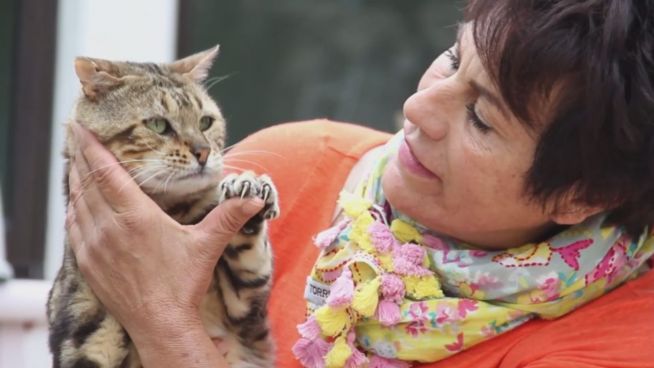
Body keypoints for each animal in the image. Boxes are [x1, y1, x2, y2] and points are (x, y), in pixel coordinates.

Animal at [48, 46, 280, 368]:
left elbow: (251, 255)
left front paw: (247, 186)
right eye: (158, 125)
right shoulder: (85, 338)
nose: (203, 152)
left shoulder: (246, 308)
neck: (174, 213)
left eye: (205, 122)